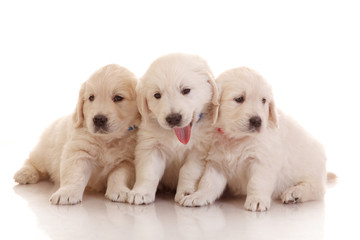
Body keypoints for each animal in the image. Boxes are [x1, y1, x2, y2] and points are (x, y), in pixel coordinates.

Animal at [13, 64, 139, 205]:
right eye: (91, 98)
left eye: (118, 98)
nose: (98, 119)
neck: (107, 140)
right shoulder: (78, 152)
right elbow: (74, 175)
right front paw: (66, 193)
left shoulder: (127, 161)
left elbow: (119, 176)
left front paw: (119, 191)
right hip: (44, 151)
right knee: (32, 161)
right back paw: (25, 173)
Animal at [126, 53, 218, 205]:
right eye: (157, 95)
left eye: (186, 90)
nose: (173, 118)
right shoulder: (151, 148)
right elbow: (148, 172)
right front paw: (141, 192)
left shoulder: (199, 150)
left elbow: (188, 171)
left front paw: (186, 192)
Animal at [179, 66, 330, 211]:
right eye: (239, 99)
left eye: (263, 100)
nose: (257, 121)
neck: (237, 138)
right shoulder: (216, 163)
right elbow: (208, 183)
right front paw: (197, 196)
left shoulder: (264, 160)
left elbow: (257, 182)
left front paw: (257, 200)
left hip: (312, 169)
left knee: (317, 189)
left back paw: (295, 193)